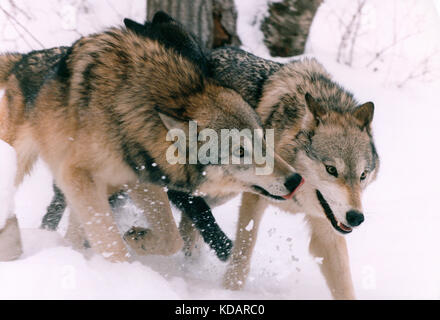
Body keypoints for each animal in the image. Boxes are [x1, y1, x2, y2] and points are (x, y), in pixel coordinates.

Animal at [0, 12, 302, 262]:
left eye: (263, 138)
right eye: (240, 151)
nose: (295, 179)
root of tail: (24, 59)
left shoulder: (139, 180)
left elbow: (171, 238)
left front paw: (138, 239)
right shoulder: (76, 175)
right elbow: (114, 246)